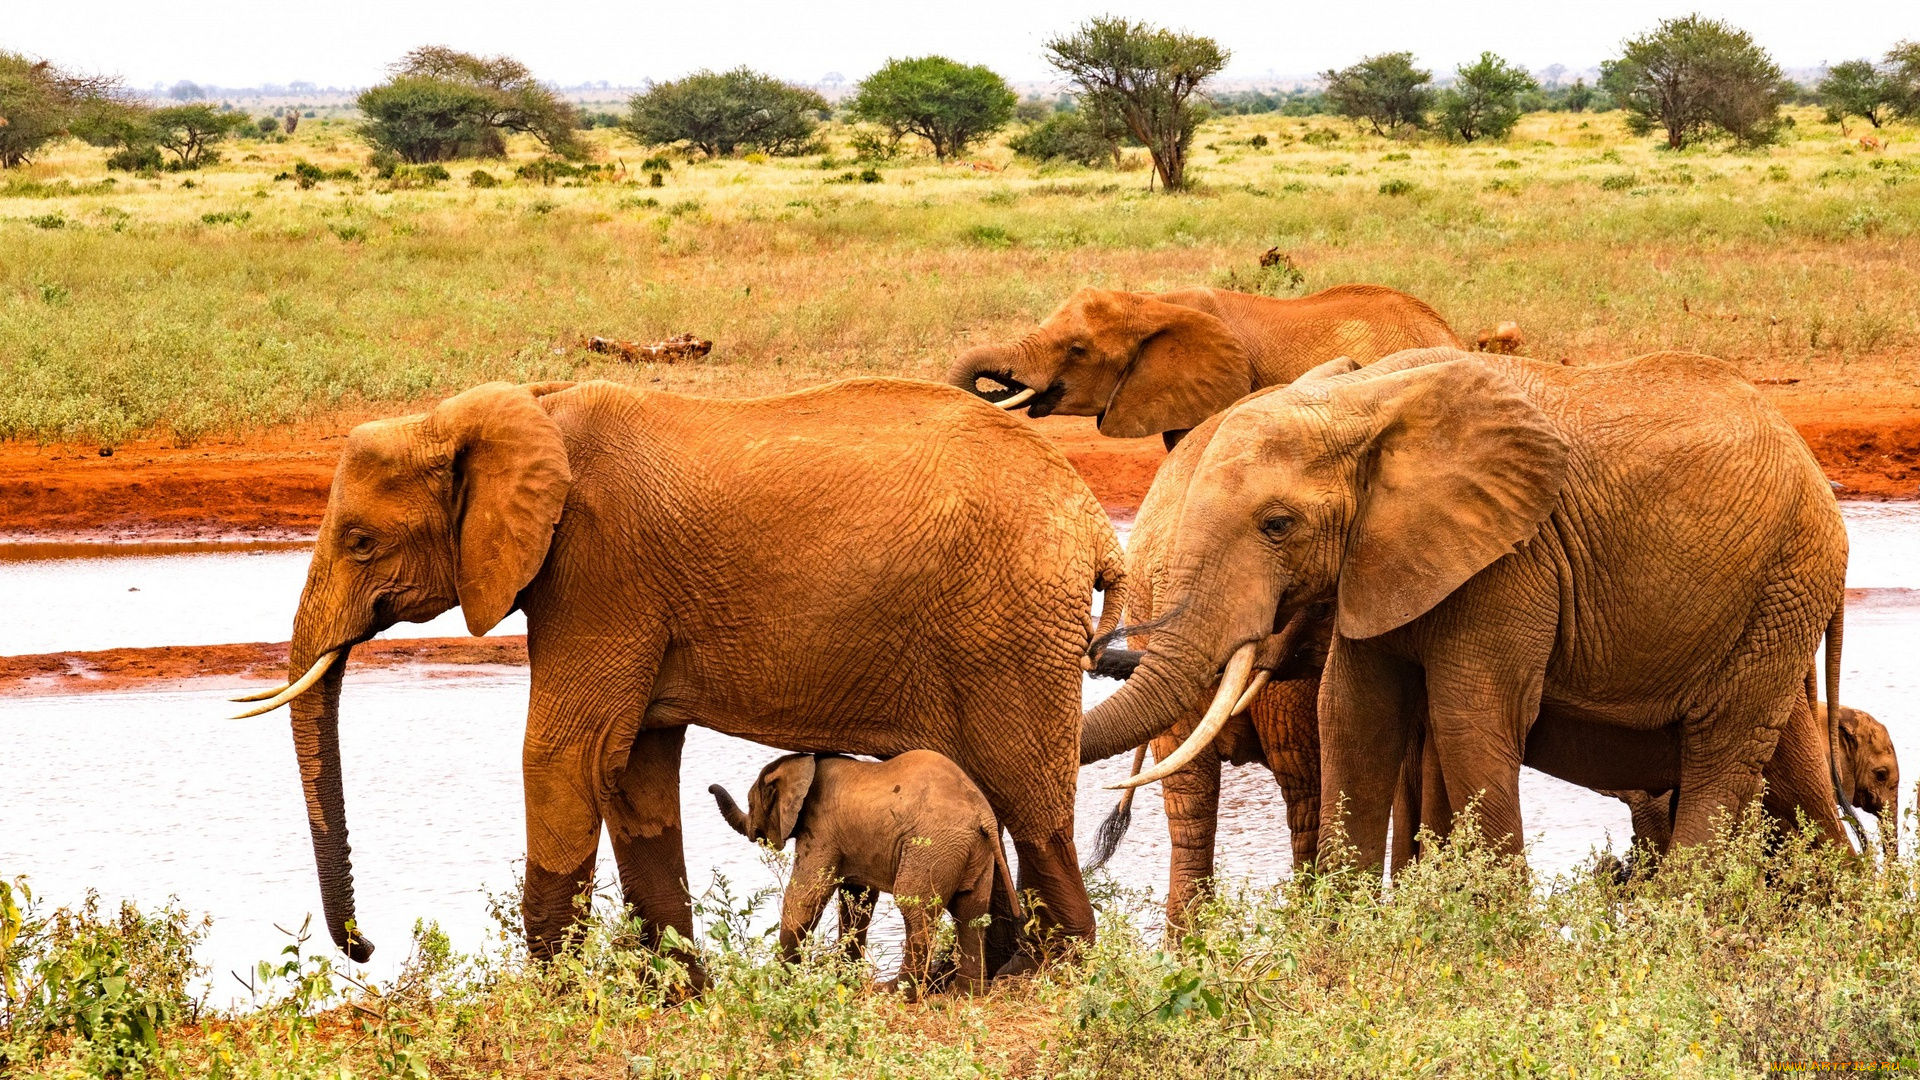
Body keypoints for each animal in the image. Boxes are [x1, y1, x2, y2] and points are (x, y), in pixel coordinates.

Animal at [236, 374, 1121, 960]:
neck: (518, 414)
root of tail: (1092, 521)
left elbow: (561, 755)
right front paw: (674, 996)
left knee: (1029, 803)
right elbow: (633, 771)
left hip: (1009, 623)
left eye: (359, 542)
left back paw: (1052, 972)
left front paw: (551, 995)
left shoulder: (598, 569)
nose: (365, 948)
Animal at [710, 749, 1021, 991]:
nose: (711, 786)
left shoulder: (820, 830)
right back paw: (965, 993)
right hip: (976, 850)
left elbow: (805, 897)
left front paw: (783, 986)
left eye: (751, 803)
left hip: (933, 845)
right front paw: (845, 982)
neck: (802, 763)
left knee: (915, 908)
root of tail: (983, 814)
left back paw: (899, 992)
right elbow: (857, 901)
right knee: (971, 911)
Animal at [1082, 349, 1843, 868]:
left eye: (1276, 525)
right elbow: (1352, 716)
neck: (1364, 400)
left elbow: (1471, 716)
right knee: (1787, 773)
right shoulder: (1380, 559)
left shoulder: (1511, 560)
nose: (1101, 651)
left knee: (1722, 750)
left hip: (1787, 578)